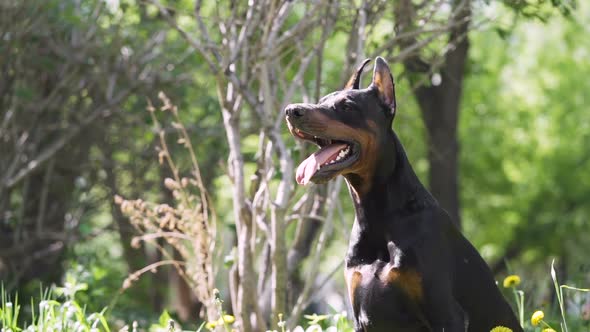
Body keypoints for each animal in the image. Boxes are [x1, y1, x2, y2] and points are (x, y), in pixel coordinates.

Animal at [286, 57, 524, 332]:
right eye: (322, 100)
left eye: (346, 106)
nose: (291, 110)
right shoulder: (360, 316)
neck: (378, 216)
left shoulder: (446, 313)